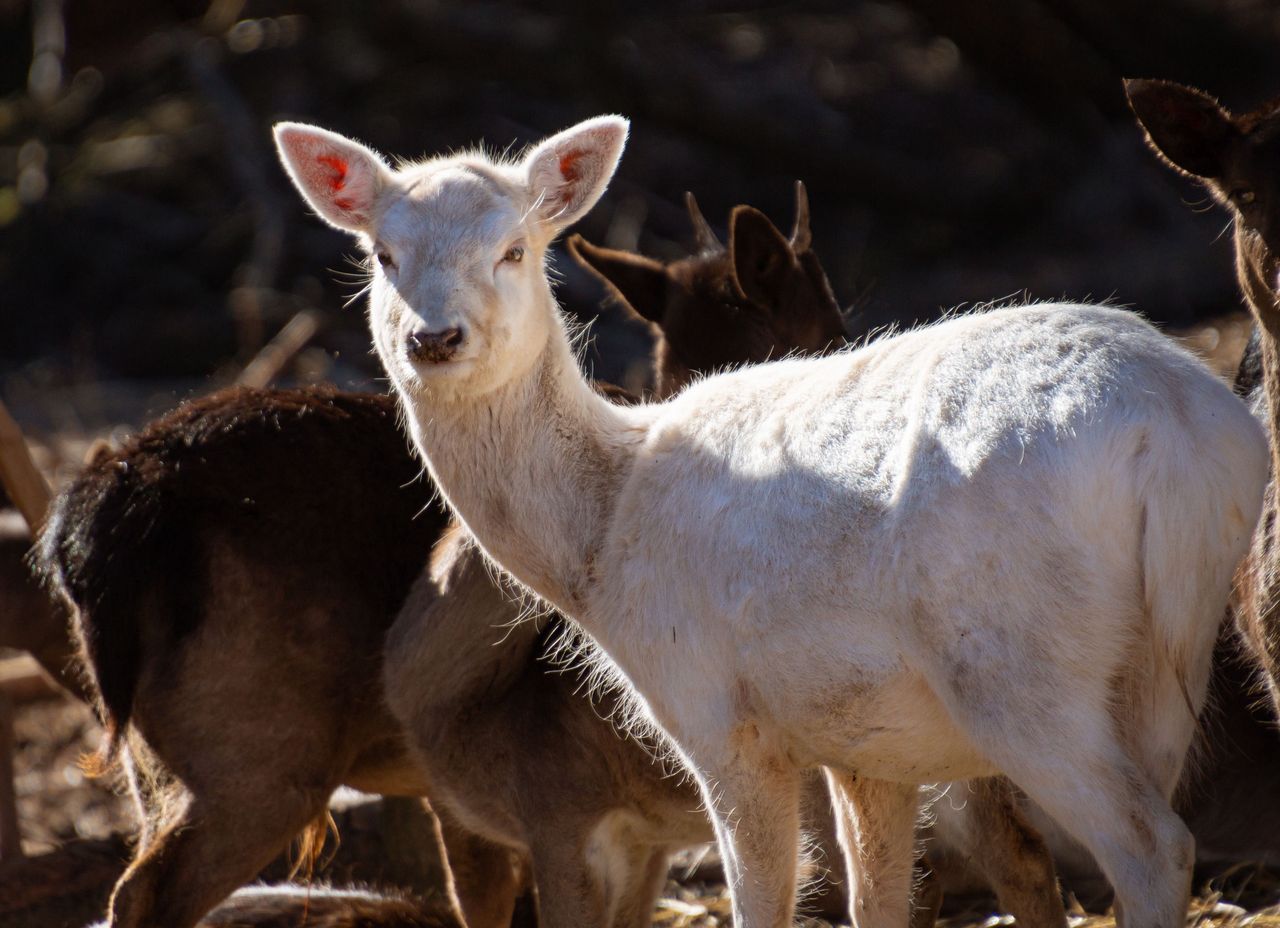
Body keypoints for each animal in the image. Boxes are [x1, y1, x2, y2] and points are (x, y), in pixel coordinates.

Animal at [275, 113, 1264, 926]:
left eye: (514, 249)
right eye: (382, 255)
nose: (434, 338)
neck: (602, 541)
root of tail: (1179, 437)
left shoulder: (719, 716)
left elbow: (766, 901)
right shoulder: (867, 746)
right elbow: (877, 902)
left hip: (1020, 660)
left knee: (1152, 845)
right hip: (1162, 661)